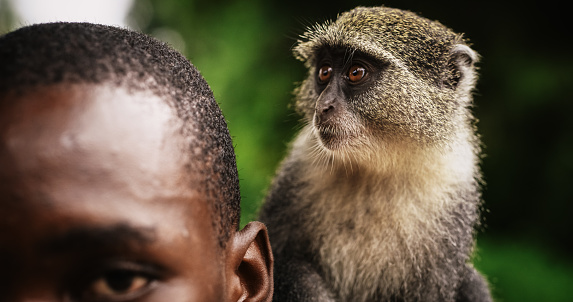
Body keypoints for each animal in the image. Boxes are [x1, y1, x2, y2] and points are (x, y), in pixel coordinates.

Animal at [260, 5, 492, 302]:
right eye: (324, 72)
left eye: (356, 72)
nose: (322, 106)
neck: (378, 165)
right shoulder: (300, 166)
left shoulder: (453, 186)